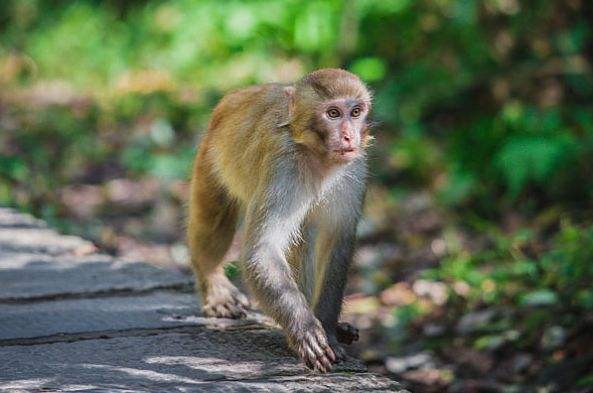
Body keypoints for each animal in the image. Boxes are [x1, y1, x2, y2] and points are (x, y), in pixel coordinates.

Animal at [186, 67, 370, 370]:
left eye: (356, 112)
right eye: (333, 114)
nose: (348, 137)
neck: (318, 157)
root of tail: (239, 94)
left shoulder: (354, 170)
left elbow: (337, 242)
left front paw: (329, 330)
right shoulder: (284, 166)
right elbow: (263, 250)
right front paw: (305, 329)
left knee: (307, 232)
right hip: (210, 158)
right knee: (215, 218)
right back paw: (213, 283)